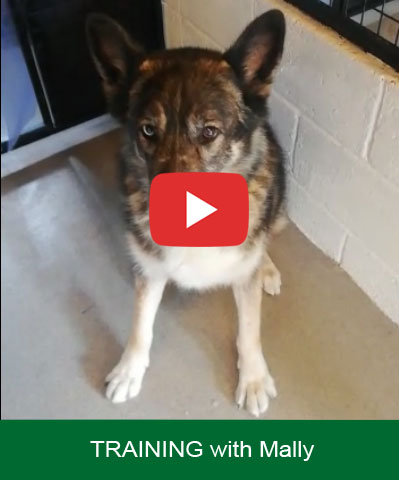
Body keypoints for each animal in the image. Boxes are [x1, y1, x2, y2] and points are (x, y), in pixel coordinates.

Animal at [87, 8, 288, 416]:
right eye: (148, 130)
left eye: (209, 132)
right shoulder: (149, 271)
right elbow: (140, 325)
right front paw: (129, 369)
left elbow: (249, 330)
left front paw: (253, 377)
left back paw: (267, 268)